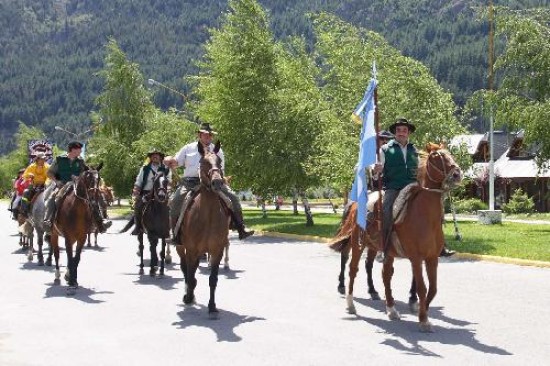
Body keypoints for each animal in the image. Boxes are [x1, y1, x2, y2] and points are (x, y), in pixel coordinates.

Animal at [48, 166, 104, 294]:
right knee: (56, 254)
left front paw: (73, 280)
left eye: (98, 179)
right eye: (87, 179)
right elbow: (69, 257)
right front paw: (71, 283)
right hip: (54, 234)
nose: (93, 199)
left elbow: (76, 258)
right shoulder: (68, 237)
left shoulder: (82, 237)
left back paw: (68, 275)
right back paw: (57, 276)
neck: (77, 210)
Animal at [175, 140, 231, 318]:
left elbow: (213, 279)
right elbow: (190, 274)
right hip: (181, 247)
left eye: (219, 162)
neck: (208, 216)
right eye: (204, 162)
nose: (217, 182)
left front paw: (212, 306)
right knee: (185, 269)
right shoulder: (191, 249)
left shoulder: (216, 250)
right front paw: (188, 296)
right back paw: (188, 295)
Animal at [330, 143, 464, 332]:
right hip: (358, 244)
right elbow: (422, 287)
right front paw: (423, 319)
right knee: (352, 268)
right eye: (436, 157)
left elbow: (433, 289)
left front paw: (421, 309)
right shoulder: (416, 258)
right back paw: (350, 303)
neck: (425, 217)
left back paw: (391, 309)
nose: (457, 174)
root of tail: (356, 205)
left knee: (385, 275)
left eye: (450, 154)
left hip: (384, 250)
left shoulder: (432, 258)